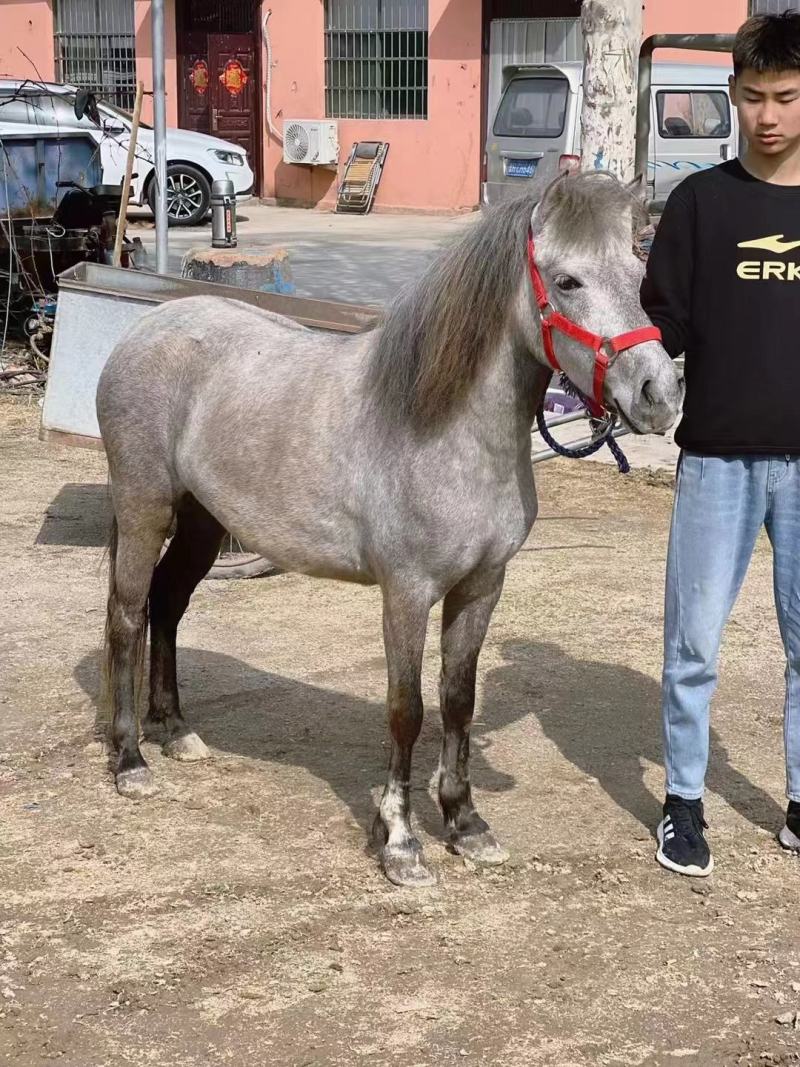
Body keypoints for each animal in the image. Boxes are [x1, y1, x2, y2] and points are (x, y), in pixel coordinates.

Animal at [96, 172, 683, 888]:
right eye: (568, 281)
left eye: (638, 273)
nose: (659, 394)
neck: (443, 430)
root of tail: (150, 327)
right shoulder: (406, 593)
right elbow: (408, 710)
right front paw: (401, 841)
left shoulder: (481, 588)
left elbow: (457, 700)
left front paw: (465, 824)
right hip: (145, 506)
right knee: (128, 615)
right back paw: (131, 760)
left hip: (206, 522)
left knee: (169, 603)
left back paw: (176, 730)